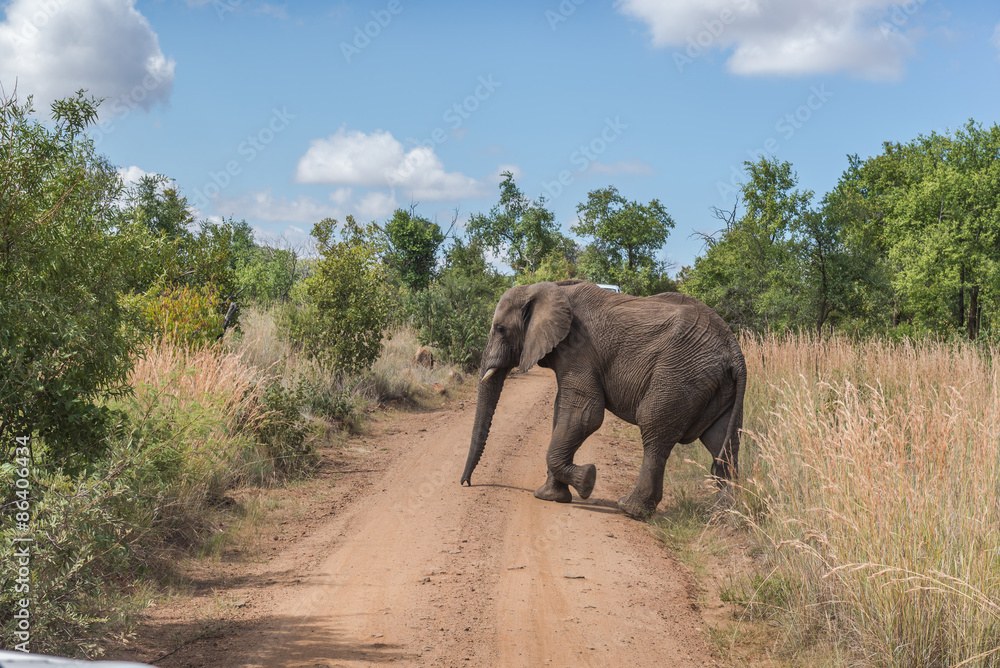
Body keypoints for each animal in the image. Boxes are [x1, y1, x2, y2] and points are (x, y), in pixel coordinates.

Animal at [460, 280, 747, 519]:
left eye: (500, 329)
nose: (466, 483)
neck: (546, 288)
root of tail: (734, 349)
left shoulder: (578, 348)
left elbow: (586, 413)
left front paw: (587, 480)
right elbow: (561, 412)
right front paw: (551, 496)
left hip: (679, 374)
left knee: (655, 432)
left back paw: (630, 509)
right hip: (717, 387)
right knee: (723, 446)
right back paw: (724, 516)